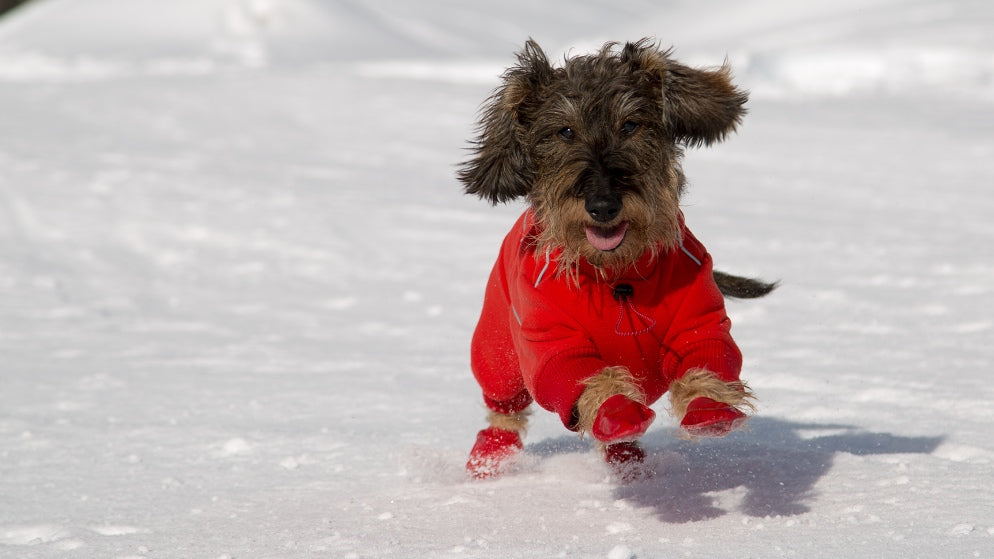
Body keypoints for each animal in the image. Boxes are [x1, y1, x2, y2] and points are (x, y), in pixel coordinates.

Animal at [458, 38, 776, 482]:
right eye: (565, 131)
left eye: (630, 125)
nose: (603, 205)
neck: (615, 275)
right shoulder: (553, 346)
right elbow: (584, 380)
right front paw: (615, 409)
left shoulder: (700, 322)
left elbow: (707, 355)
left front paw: (709, 403)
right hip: (497, 352)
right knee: (503, 407)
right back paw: (490, 460)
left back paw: (628, 462)